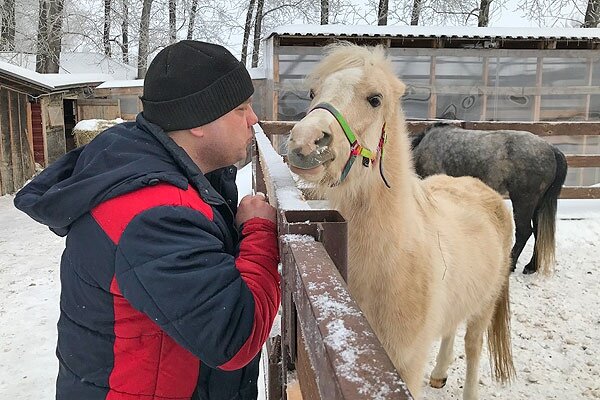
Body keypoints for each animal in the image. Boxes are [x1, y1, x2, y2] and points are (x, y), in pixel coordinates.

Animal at [288, 42, 516, 398]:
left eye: (375, 99)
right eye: (313, 92)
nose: (306, 141)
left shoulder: (406, 364)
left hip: (484, 306)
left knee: (473, 345)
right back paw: (438, 374)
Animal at [412, 123, 568, 276]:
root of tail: (552, 149)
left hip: (524, 201)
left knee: (524, 232)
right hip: (537, 204)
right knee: (538, 232)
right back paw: (531, 266)